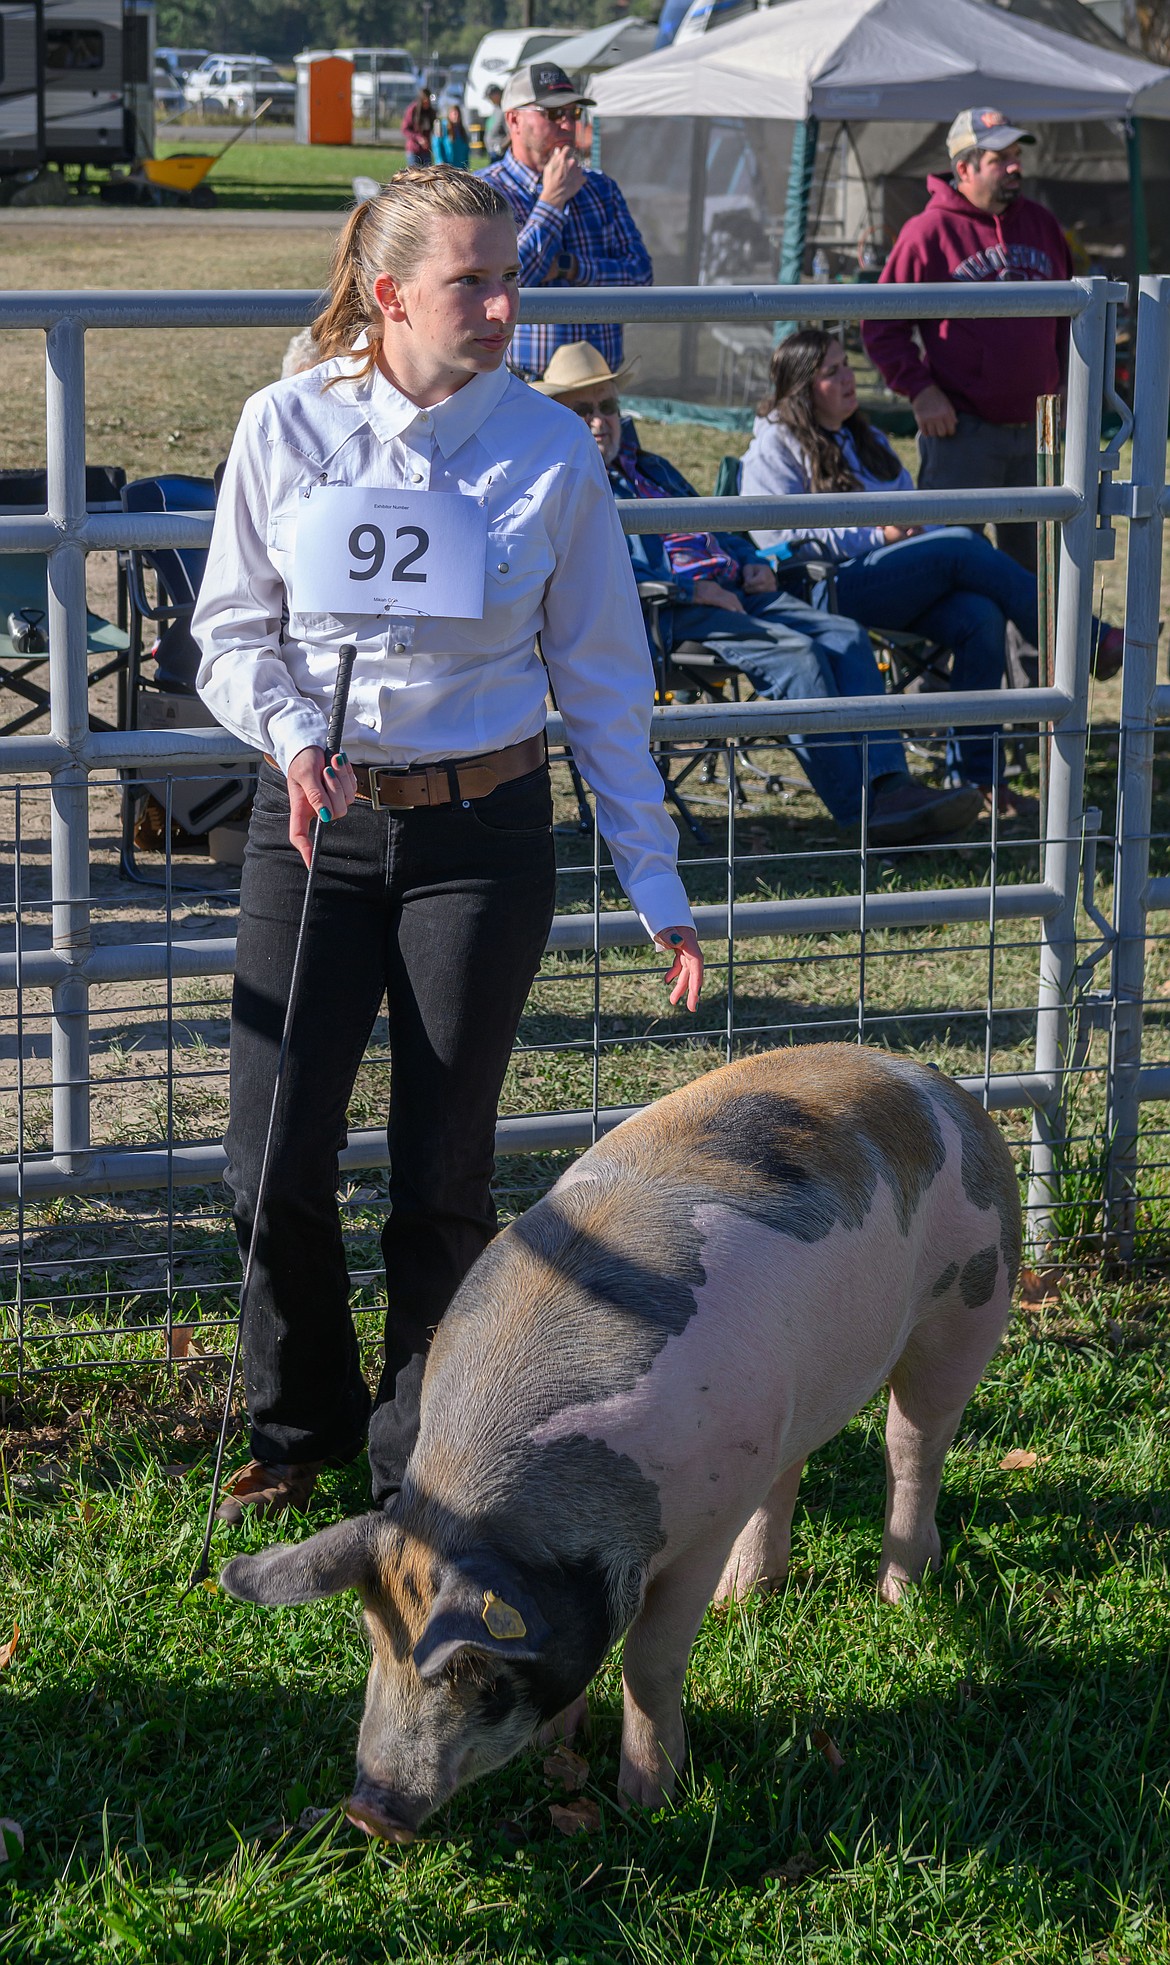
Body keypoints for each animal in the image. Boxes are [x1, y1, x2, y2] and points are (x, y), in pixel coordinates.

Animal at [220, 1053, 1014, 1831]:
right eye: (373, 1638)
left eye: (482, 1676)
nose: (367, 1811)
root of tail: (937, 1084)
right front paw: (557, 1747)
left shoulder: (701, 1530)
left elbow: (650, 1662)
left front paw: (650, 1802)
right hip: (796, 1394)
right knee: (792, 1469)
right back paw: (745, 1600)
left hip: (971, 1301)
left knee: (913, 1446)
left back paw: (902, 1592)